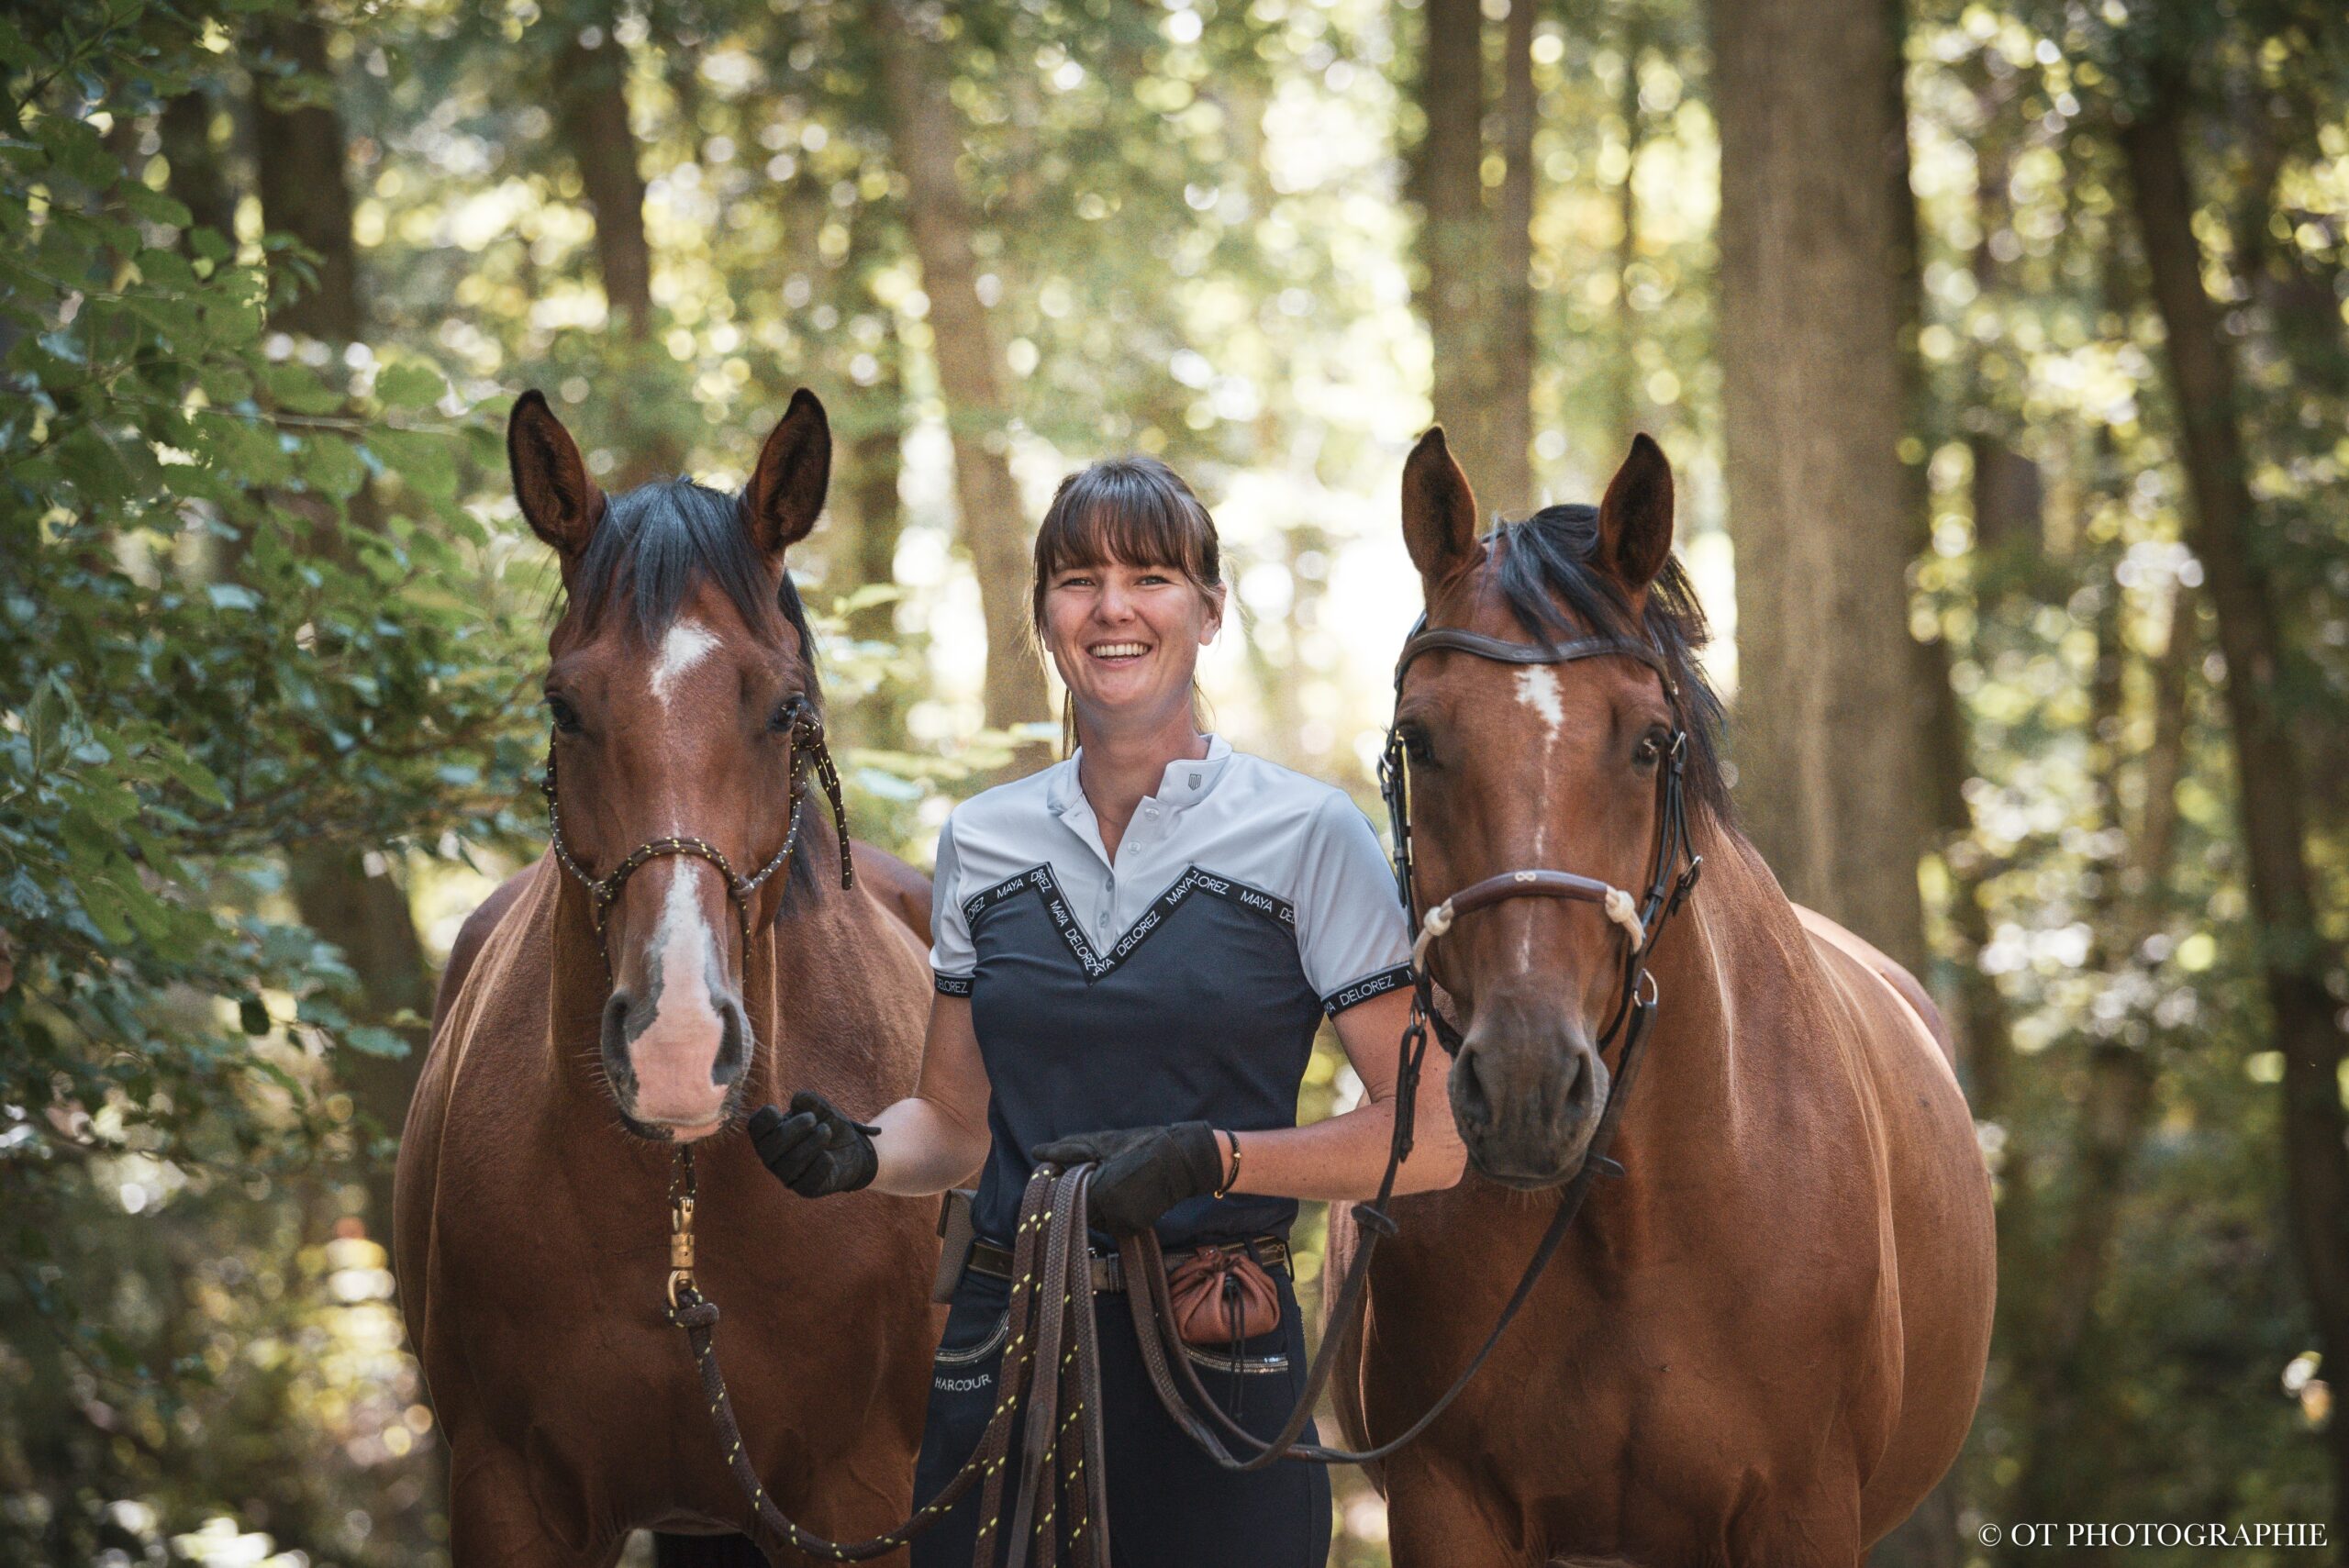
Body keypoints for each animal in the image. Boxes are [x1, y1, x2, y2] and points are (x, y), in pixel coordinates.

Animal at [1326, 429, 1996, 1567]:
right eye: (1417, 738)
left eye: (1646, 741)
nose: (1524, 1086)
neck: (1633, 1222)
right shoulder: (1444, 1503)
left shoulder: (1803, 1508)